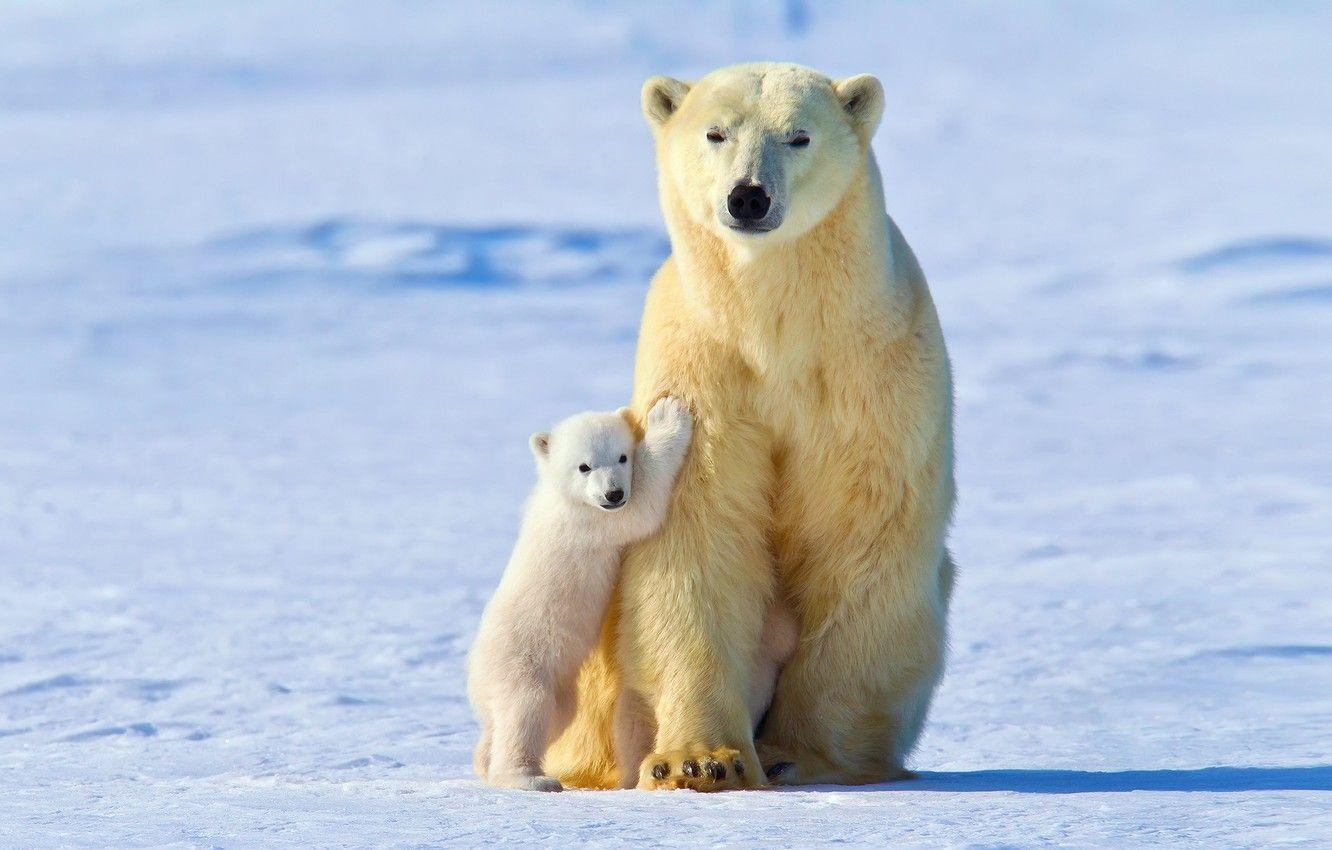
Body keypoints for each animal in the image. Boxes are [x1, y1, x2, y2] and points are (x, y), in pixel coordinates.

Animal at [467, 397, 693, 791]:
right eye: (584, 466)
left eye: (621, 456)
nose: (613, 493)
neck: (563, 496)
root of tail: (474, 678)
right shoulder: (589, 522)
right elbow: (641, 507)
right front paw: (667, 416)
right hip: (521, 661)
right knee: (525, 710)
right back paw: (531, 778)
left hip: (558, 688)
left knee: (546, 718)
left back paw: (485, 759)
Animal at [543, 62, 955, 791]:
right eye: (716, 132)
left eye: (798, 135)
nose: (749, 198)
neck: (776, 329)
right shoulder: (703, 370)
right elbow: (697, 537)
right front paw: (703, 759)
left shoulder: (871, 376)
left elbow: (862, 536)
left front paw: (801, 753)